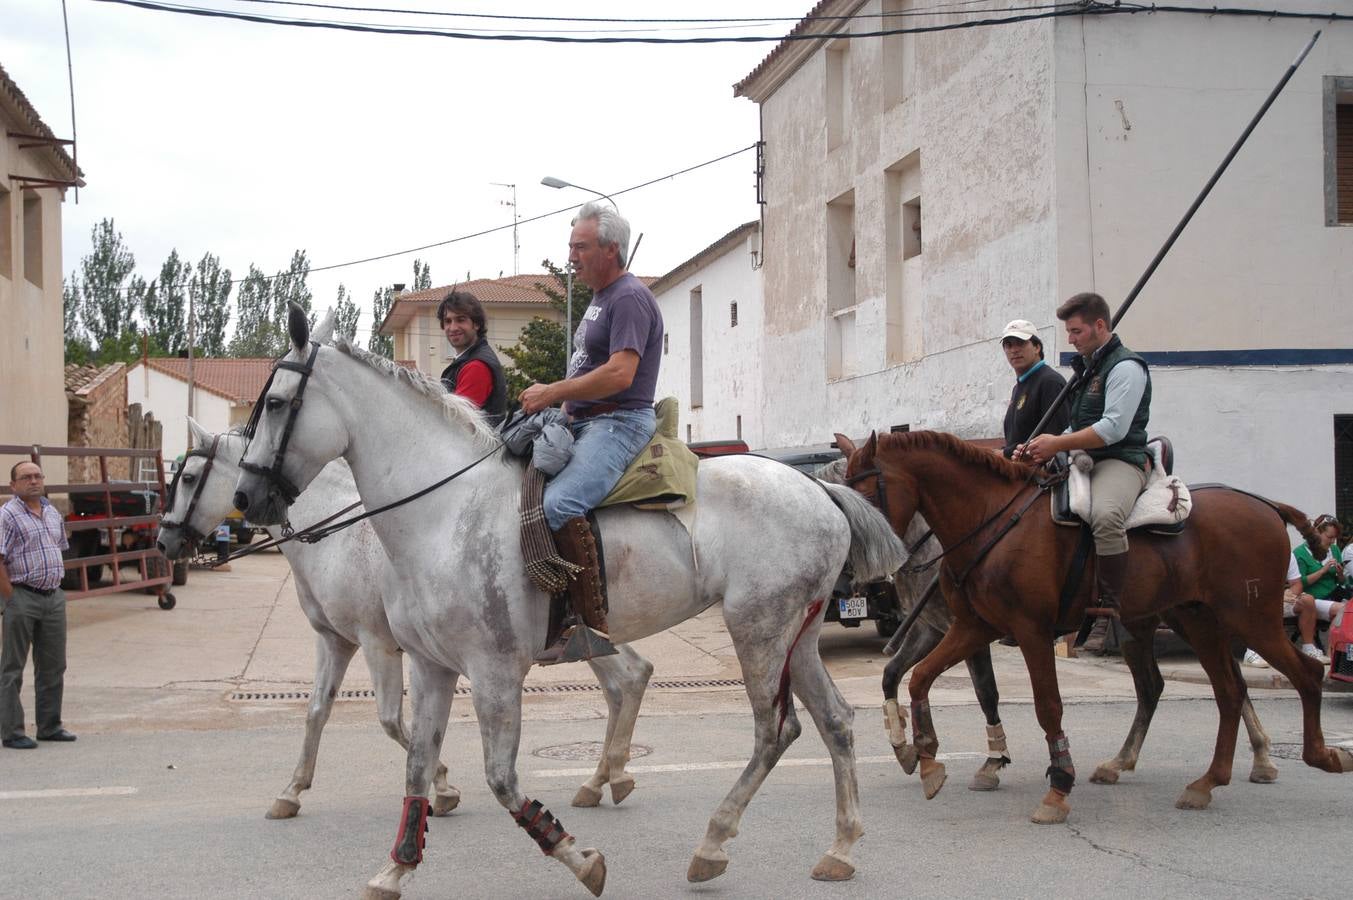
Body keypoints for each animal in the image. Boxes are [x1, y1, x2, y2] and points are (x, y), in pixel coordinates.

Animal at [232, 305, 909, 893]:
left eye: (275, 404)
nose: (246, 498)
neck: (445, 514)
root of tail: (820, 490)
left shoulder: (494, 673)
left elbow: (502, 780)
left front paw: (581, 859)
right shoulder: (430, 667)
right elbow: (418, 765)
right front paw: (396, 868)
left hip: (757, 630)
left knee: (776, 730)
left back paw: (712, 843)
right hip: (798, 636)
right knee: (836, 722)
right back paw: (840, 848)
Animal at [833, 433, 1353, 822]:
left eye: (865, 493)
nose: (848, 567)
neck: (989, 522)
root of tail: (1264, 505)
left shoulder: (1027, 631)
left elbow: (1042, 705)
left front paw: (1055, 784)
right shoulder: (971, 628)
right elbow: (917, 678)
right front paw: (924, 756)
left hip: (1251, 619)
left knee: (1300, 676)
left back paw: (1311, 756)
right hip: (1192, 621)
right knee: (1220, 690)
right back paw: (1203, 780)